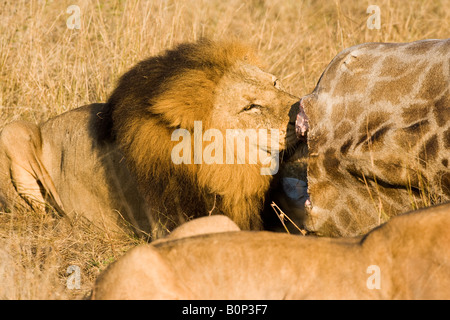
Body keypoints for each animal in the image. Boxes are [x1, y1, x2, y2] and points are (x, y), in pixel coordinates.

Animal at [1, 39, 302, 238]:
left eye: (275, 83)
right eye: (250, 107)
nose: (302, 108)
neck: (229, 168)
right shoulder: (169, 227)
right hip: (14, 130)